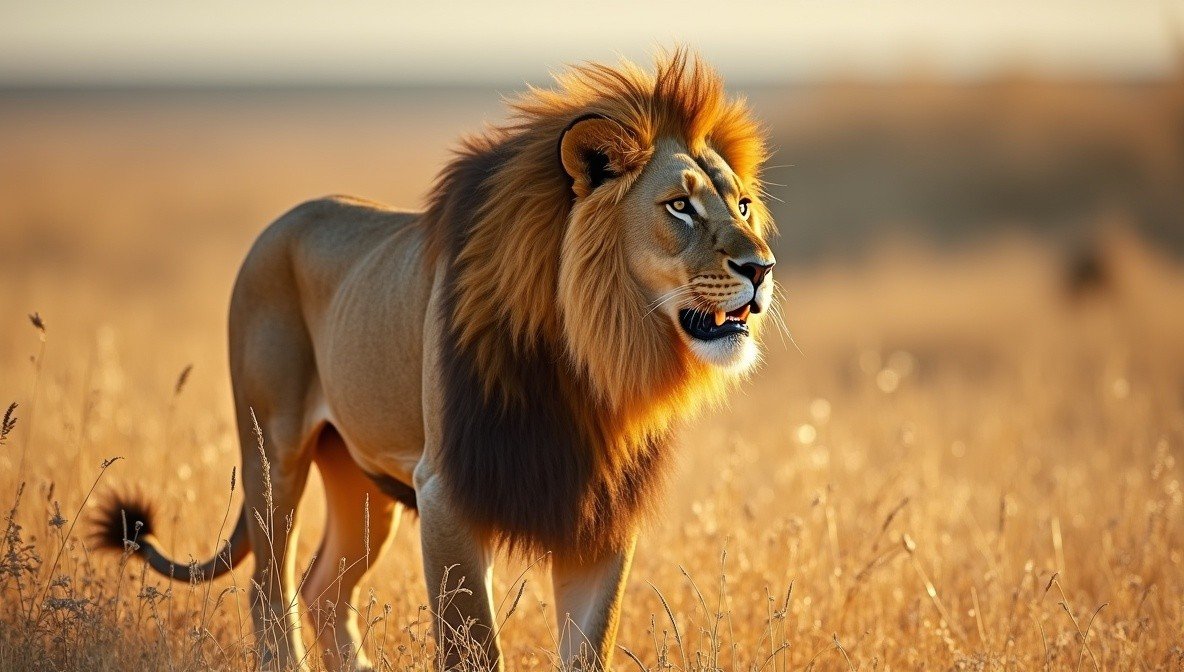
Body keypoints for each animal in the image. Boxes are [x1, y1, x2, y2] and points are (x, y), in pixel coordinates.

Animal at [93, 49, 777, 671]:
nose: (762, 268)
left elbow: (588, 648)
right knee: (269, 587)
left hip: (363, 482)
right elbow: (474, 644)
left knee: (323, 588)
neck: (592, 362)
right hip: (273, 452)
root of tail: (282, 221)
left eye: (742, 206)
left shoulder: (597, 512)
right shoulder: (447, 491)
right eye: (680, 206)